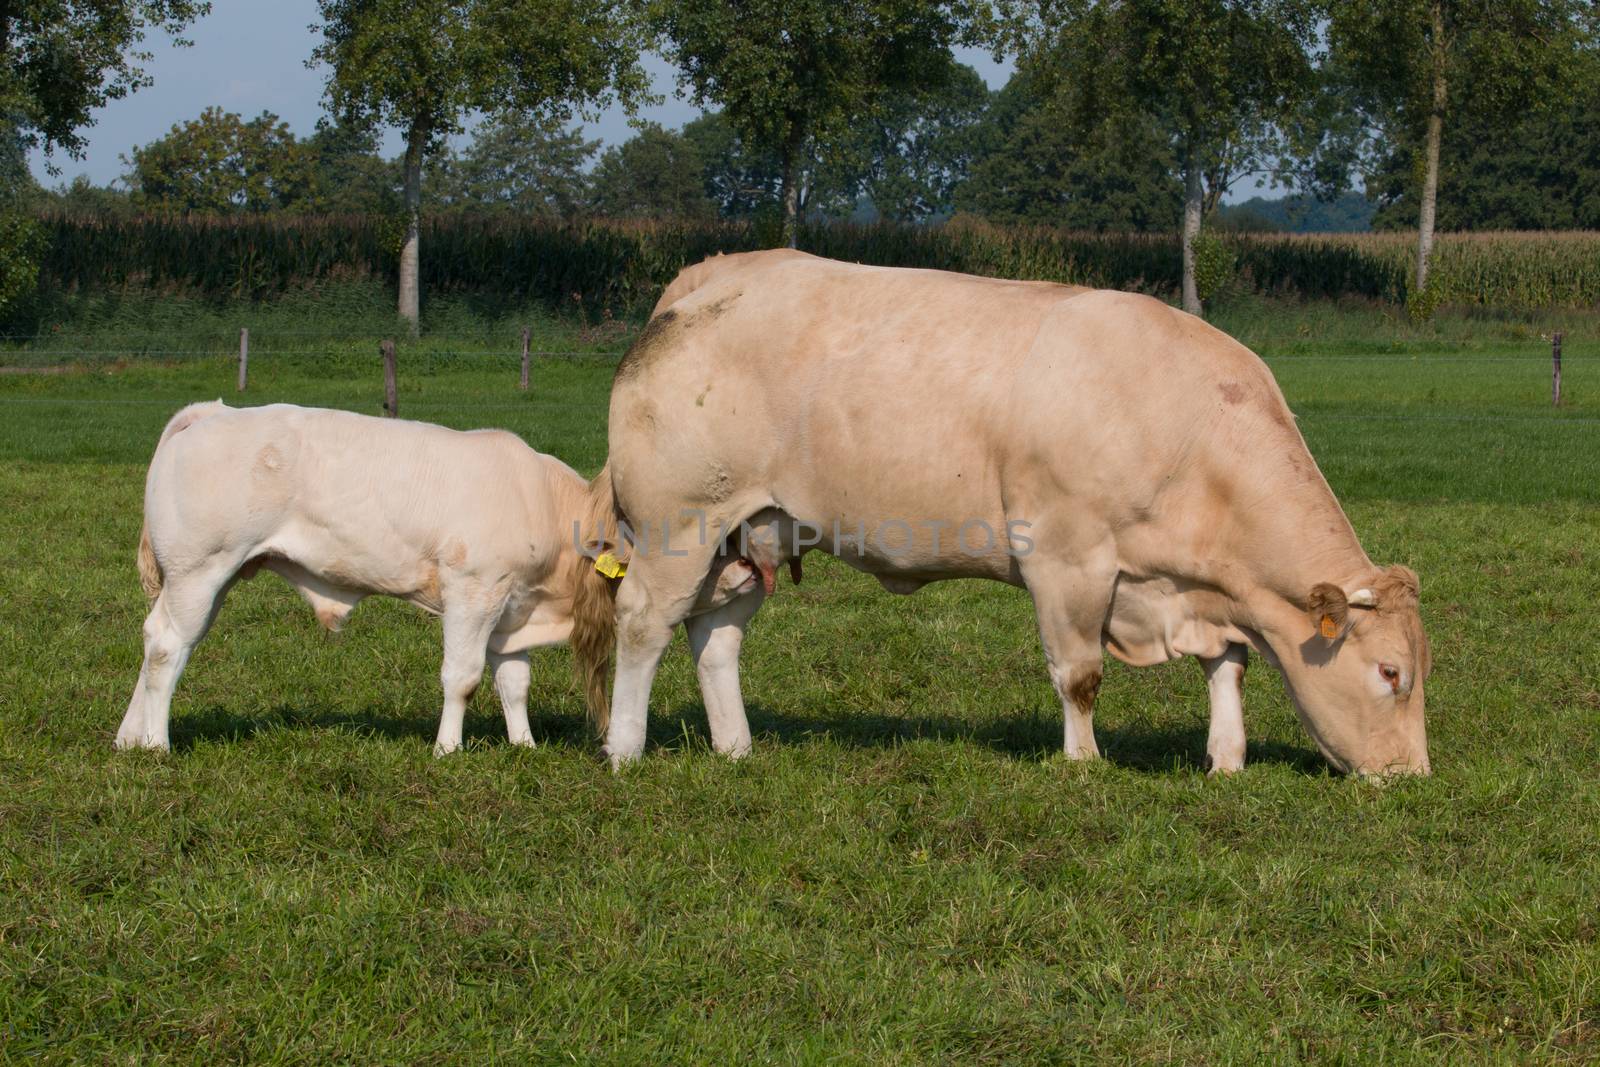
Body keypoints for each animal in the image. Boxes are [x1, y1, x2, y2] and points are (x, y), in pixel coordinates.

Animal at [118, 396, 755, 755]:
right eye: (708, 541)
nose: (751, 569)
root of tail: (213, 413)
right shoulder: (474, 590)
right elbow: (463, 677)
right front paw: (448, 749)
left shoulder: (512, 608)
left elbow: (513, 682)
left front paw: (524, 745)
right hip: (202, 569)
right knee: (170, 646)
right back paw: (157, 744)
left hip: (204, 579)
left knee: (155, 640)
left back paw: (130, 739)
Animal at [579, 254, 1440, 780]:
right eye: (1390, 673)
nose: (1411, 775)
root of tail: (710, 279)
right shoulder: (1068, 558)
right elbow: (1080, 674)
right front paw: (1084, 761)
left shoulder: (1203, 588)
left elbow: (1228, 664)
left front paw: (1226, 759)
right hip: (679, 523)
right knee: (645, 623)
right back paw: (625, 748)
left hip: (747, 529)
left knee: (715, 637)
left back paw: (736, 747)